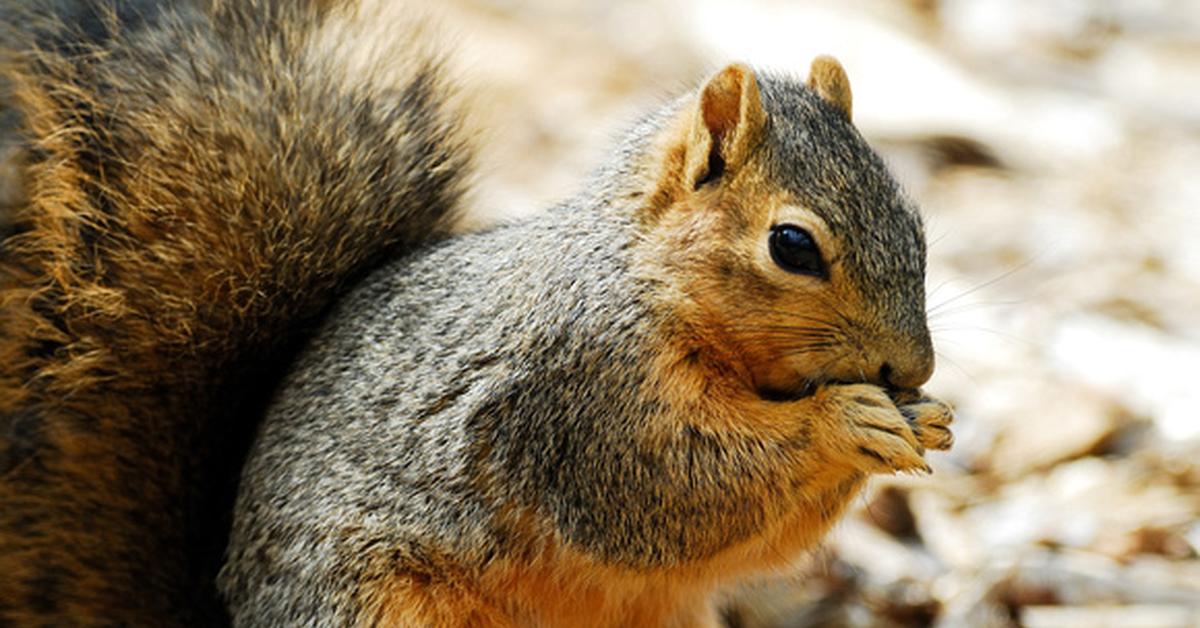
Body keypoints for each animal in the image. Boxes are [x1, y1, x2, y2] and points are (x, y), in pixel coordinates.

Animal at [0, 1, 955, 628]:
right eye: (793, 246)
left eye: (916, 216)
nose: (913, 368)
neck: (640, 281)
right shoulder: (582, 398)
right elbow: (675, 487)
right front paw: (846, 422)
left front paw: (931, 420)